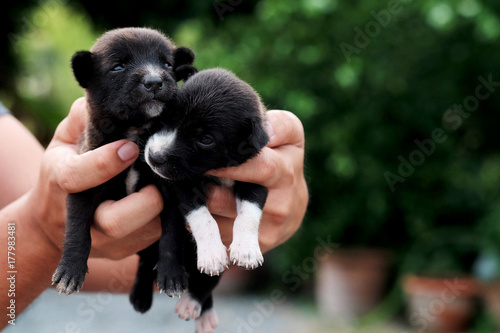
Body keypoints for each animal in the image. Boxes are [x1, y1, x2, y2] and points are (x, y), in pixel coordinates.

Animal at [51, 27, 196, 310]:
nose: (154, 81)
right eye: (118, 67)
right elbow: (77, 229)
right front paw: (69, 271)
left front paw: (172, 275)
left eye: (167, 64)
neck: (135, 132)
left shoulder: (171, 192)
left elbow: (171, 236)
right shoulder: (82, 184)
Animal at [145, 67, 270, 330]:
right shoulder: (182, 185)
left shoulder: (259, 176)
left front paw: (246, 249)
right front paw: (212, 253)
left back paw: (195, 306)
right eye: (167, 118)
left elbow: (249, 214)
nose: (154, 157)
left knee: (206, 284)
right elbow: (203, 218)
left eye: (205, 139)